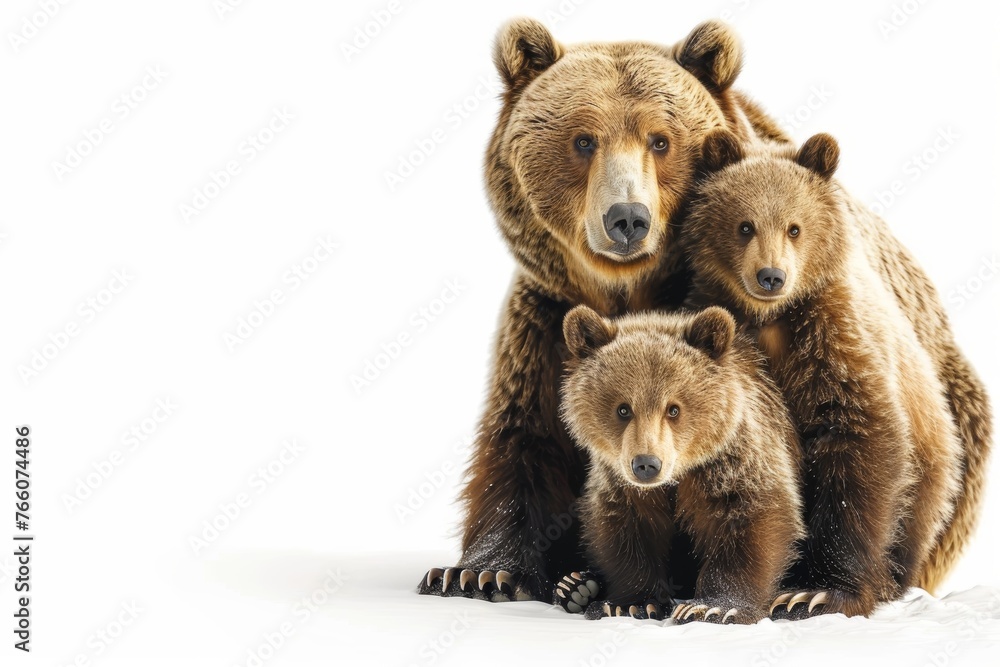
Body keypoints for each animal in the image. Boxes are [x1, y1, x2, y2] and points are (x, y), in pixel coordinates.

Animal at [417, 17, 792, 603]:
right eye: (583, 140)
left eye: (661, 140)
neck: (626, 291)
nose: (628, 219)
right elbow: (526, 440)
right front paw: (479, 571)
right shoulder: (546, 322)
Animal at [552, 305, 804, 625]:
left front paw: (715, 607)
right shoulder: (621, 485)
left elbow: (751, 522)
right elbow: (627, 532)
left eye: (673, 409)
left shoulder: (733, 463)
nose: (647, 464)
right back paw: (574, 585)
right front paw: (631, 604)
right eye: (623, 409)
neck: (679, 476)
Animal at [680, 130, 968, 617]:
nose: (771, 275)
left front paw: (816, 592)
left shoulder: (836, 341)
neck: (772, 318)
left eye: (794, 227)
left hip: (933, 466)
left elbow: (857, 443)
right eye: (745, 225)